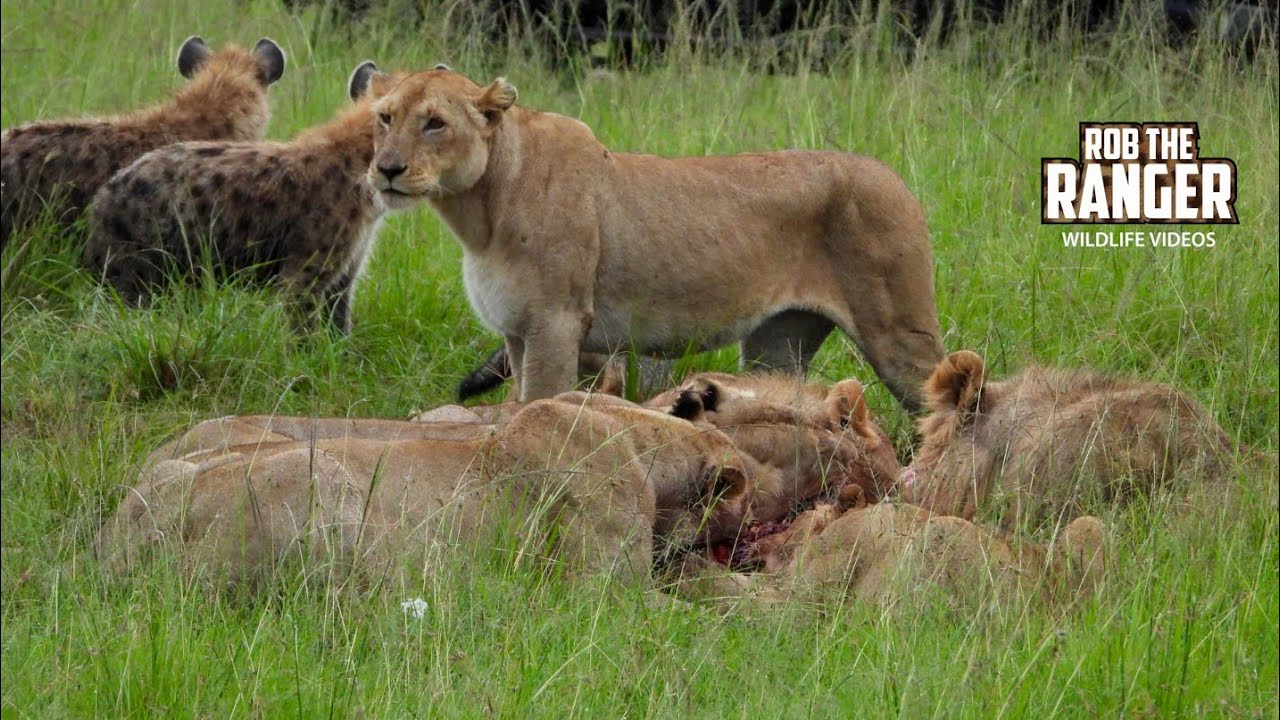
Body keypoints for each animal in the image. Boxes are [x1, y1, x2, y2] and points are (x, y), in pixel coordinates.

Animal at [365, 68, 945, 411]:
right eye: (385, 118)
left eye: (435, 123)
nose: (386, 169)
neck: (477, 211)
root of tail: (893, 176)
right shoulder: (516, 331)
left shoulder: (555, 323)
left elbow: (537, 409)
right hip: (779, 343)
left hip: (897, 334)